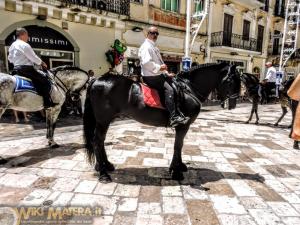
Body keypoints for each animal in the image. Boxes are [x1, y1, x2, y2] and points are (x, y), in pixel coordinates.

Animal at [83, 62, 240, 182]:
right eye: (232, 80)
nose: (233, 103)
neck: (189, 88)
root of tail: (97, 80)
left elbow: (180, 146)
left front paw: (179, 166)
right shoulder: (183, 125)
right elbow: (178, 146)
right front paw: (176, 172)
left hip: (105, 120)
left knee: (100, 141)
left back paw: (106, 166)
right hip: (103, 120)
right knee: (97, 141)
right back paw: (103, 174)